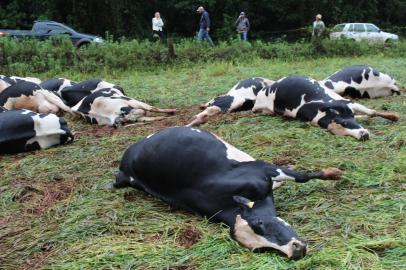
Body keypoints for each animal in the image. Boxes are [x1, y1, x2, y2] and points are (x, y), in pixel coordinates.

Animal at [109, 127, 340, 258]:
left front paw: (333, 172)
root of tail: (126, 166)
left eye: (260, 223)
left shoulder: (262, 168)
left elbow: (302, 177)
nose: (296, 250)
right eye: (260, 249)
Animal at [252, 75, 398, 139]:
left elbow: (371, 111)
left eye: (345, 123)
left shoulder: (348, 102)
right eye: (341, 132)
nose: (363, 135)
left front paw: (394, 116)